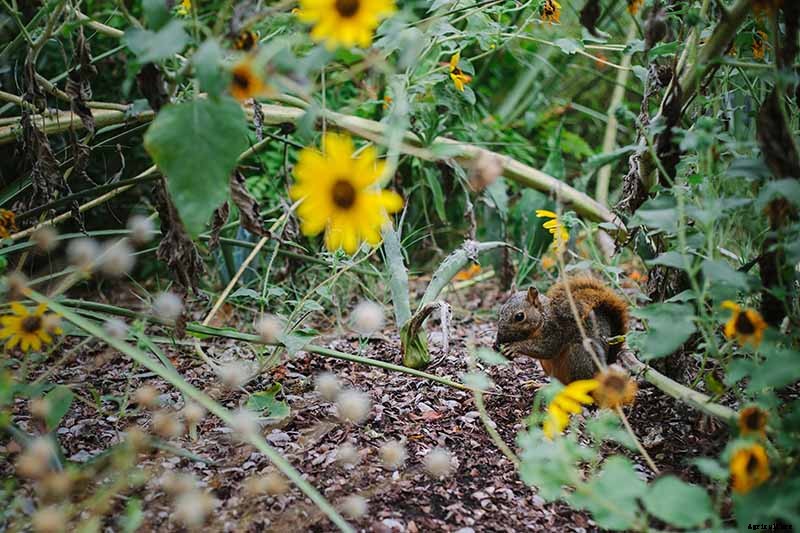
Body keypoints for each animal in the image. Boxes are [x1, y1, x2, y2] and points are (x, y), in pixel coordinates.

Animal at [493, 276, 628, 384]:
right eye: (501, 311)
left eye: (519, 316)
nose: (499, 338)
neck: (543, 316)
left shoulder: (555, 330)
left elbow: (547, 348)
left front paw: (514, 347)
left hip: (579, 356)